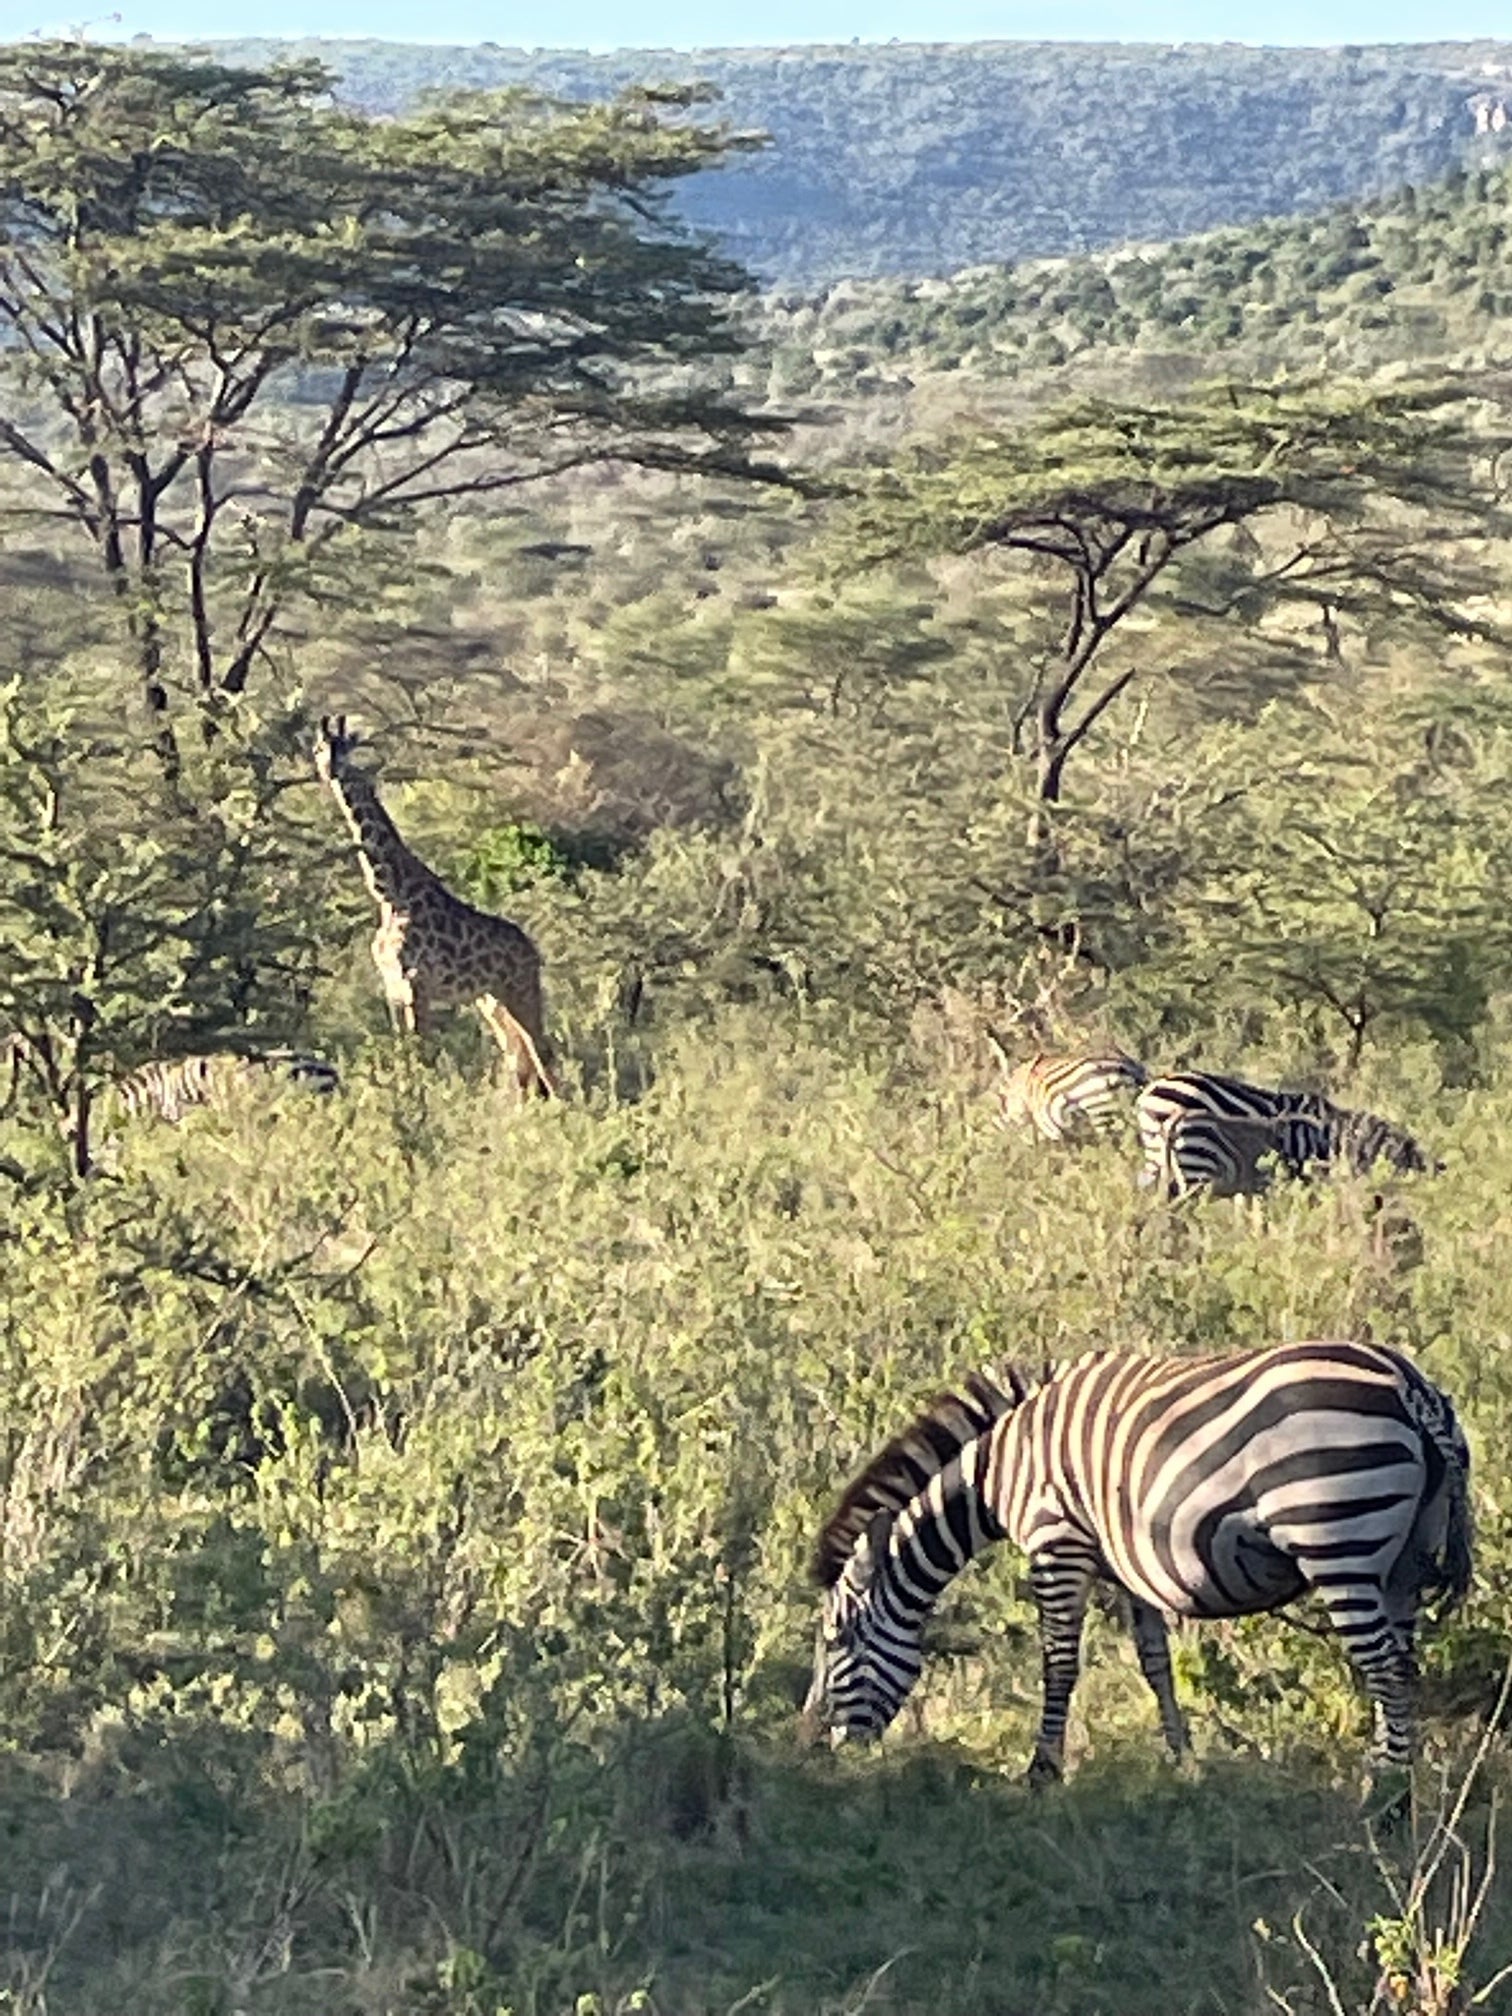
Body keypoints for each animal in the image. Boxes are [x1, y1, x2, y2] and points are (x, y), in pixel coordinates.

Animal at [316, 721, 560, 1104]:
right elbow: (403, 1054)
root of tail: (534, 953)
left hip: (520, 991)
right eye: (318, 748)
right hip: (491, 1001)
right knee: (519, 1062)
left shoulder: (417, 982)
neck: (390, 894)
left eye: (346, 749)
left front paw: (421, 1107)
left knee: (543, 1053)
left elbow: (422, 1055)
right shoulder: (392, 987)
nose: (331, 770)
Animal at [810, 1346, 1475, 1774]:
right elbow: (1155, 1663)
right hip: (1405, 1560)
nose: (818, 1749)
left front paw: (1041, 1771)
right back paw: (1395, 1788)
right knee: (1403, 1664)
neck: (998, 1471)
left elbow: (1058, 1666)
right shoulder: (1129, 1564)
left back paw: (1384, 1798)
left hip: (1338, 1543)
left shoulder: (1057, 1544)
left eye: (837, 1640)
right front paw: (1182, 1763)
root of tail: (1413, 1388)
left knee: (1384, 1668)